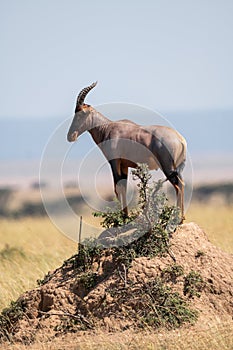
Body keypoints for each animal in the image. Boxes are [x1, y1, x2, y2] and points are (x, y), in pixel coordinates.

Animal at [66, 82, 187, 221]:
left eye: (80, 113)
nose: (70, 136)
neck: (108, 128)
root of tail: (180, 139)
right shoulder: (124, 165)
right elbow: (123, 187)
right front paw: (126, 216)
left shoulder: (114, 162)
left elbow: (117, 187)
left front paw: (123, 218)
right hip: (177, 167)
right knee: (182, 184)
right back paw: (181, 217)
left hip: (167, 166)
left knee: (178, 186)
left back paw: (177, 218)